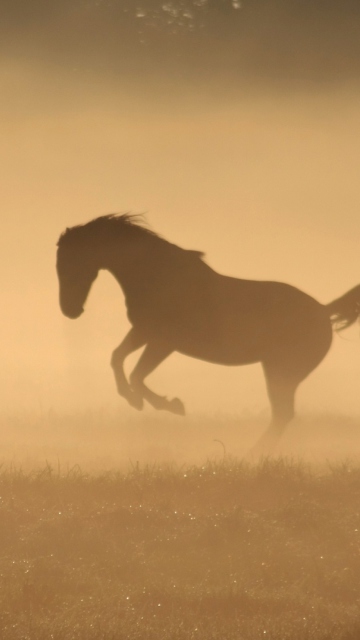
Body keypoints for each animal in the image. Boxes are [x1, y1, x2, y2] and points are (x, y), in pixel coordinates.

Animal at [55, 216, 360, 456]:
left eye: (72, 262)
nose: (69, 311)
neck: (156, 276)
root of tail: (324, 310)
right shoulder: (142, 332)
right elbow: (117, 358)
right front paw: (134, 400)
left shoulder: (163, 342)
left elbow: (137, 375)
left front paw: (171, 405)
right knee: (282, 414)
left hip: (281, 372)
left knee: (282, 414)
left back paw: (251, 455)